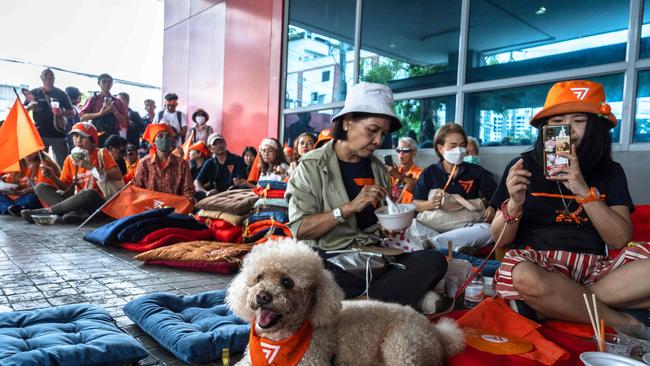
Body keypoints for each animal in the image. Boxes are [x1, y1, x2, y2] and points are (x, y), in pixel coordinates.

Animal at [225, 239, 464, 364]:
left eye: (287, 282)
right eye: (259, 278)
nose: (262, 296)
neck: (277, 341)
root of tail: (437, 332)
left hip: (402, 346)